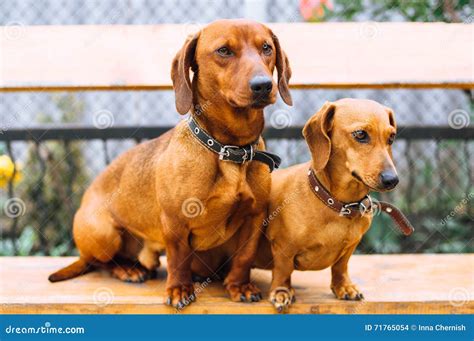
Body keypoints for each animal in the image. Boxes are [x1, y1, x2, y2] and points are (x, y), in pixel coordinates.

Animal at [49, 19, 292, 306]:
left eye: (266, 48)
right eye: (224, 50)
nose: (263, 85)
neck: (230, 149)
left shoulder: (255, 218)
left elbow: (244, 257)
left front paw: (239, 285)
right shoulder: (176, 220)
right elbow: (178, 259)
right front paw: (178, 289)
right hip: (104, 233)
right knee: (101, 263)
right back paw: (128, 270)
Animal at [254, 97, 398, 310]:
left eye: (391, 137)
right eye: (361, 134)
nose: (392, 180)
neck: (338, 205)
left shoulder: (350, 247)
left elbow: (341, 266)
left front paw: (343, 287)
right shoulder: (283, 247)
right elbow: (282, 271)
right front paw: (281, 291)